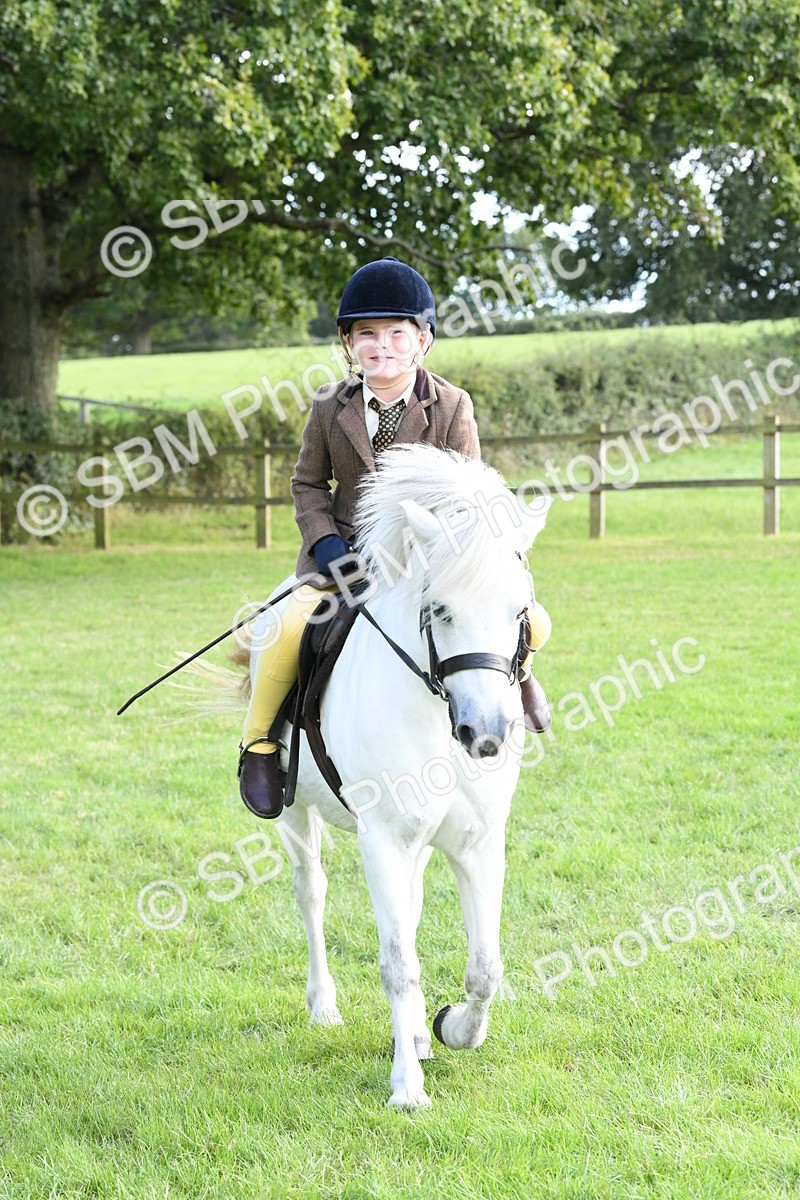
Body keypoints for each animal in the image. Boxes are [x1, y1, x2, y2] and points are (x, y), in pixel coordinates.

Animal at [240, 443, 550, 1109]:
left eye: (519, 613)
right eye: (440, 610)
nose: (486, 733)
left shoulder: (478, 842)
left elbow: (485, 967)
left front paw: (450, 1028)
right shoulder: (381, 838)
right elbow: (398, 964)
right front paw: (408, 1088)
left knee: (407, 908)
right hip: (297, 815)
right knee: (312, 893)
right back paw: (324, 1008)